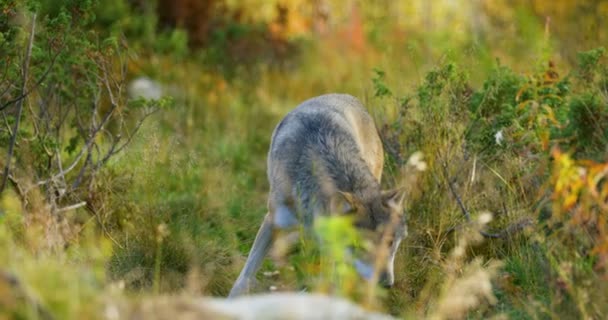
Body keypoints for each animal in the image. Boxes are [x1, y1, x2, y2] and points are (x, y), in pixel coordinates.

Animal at [228, 94, 408, 298]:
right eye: (360, 245)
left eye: (390, 242)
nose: (386, 284)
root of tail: (346, 96)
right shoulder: (273, 220)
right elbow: (245, 275)